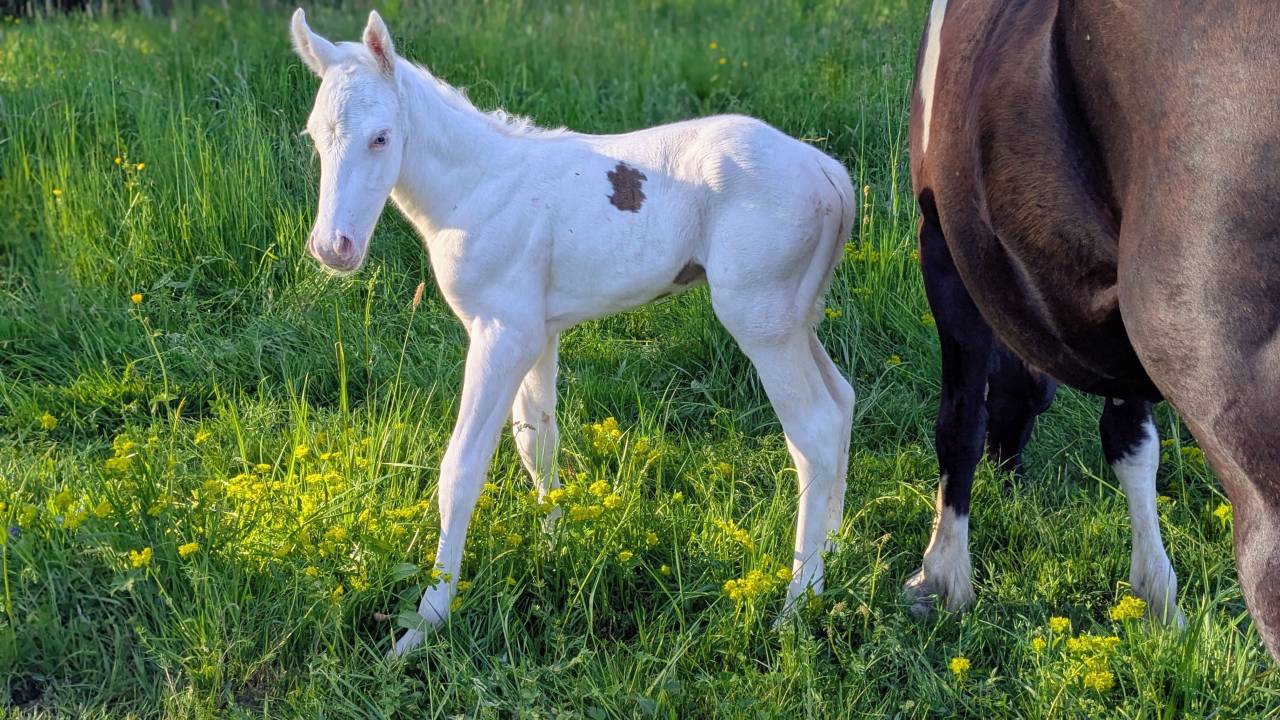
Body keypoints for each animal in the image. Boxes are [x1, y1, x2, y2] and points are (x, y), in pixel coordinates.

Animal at [289, 9, 856, 656]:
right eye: (315, 136)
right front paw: (553, 547)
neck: (477, 188)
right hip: (795, 314)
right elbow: (537, 442)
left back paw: (797, 604)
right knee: (841, 403)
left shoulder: (502, 333)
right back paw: (834, 553)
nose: (333, 248)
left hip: (761, 319)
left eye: (381, 137)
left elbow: (462, 468)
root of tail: (829, 173)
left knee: (813, 429)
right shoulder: (538, 332)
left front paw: (425, 623)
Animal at [907, 0, 1280, 662]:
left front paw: (943, 578)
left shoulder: (944, 249)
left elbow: (959, 422)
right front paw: (1158, 604)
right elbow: (1131, 443)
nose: (1010, 478)